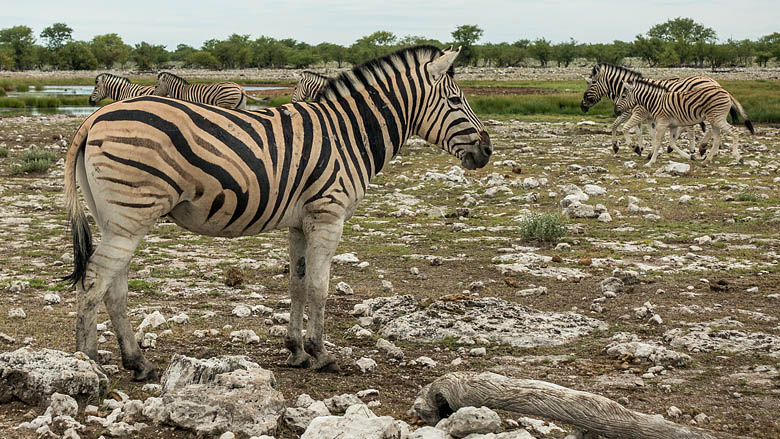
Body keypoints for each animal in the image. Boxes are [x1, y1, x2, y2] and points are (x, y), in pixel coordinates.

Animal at [64, 45, 490, 382]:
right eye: (456, 102)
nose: (487, 151)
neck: (349, 135)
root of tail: (94, 118)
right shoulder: (328, 215)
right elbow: (319, 287)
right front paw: (321, 353)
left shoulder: (300, 223)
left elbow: (297, 284)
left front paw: (296, 351)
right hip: (130, 216)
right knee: (94, 281)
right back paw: (87, 364)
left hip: (116, 219)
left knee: (114, 287)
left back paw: (138, 363)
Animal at [580, 64, 716, 156]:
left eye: (592, 82)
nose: (582, 106)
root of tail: (713, 81)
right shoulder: (642, 115)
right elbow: (640, 132)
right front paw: (640, 148)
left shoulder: (632, 113)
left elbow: (618, 126)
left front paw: (633, 147)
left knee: (707, 128)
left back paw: (701, 148)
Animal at [616, 78, 756, 168]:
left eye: (623, 96)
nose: (616, 111)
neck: (655, 101)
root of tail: (726, 92)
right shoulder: (673, 125)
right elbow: (672, 143)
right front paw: (689, 156)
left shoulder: (662, 123)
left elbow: (658, 142)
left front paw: (650, 162)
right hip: (714, 120)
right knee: (717, 139)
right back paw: (706, 161)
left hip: (717, 118)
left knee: (735, 131)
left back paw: (738, 157)